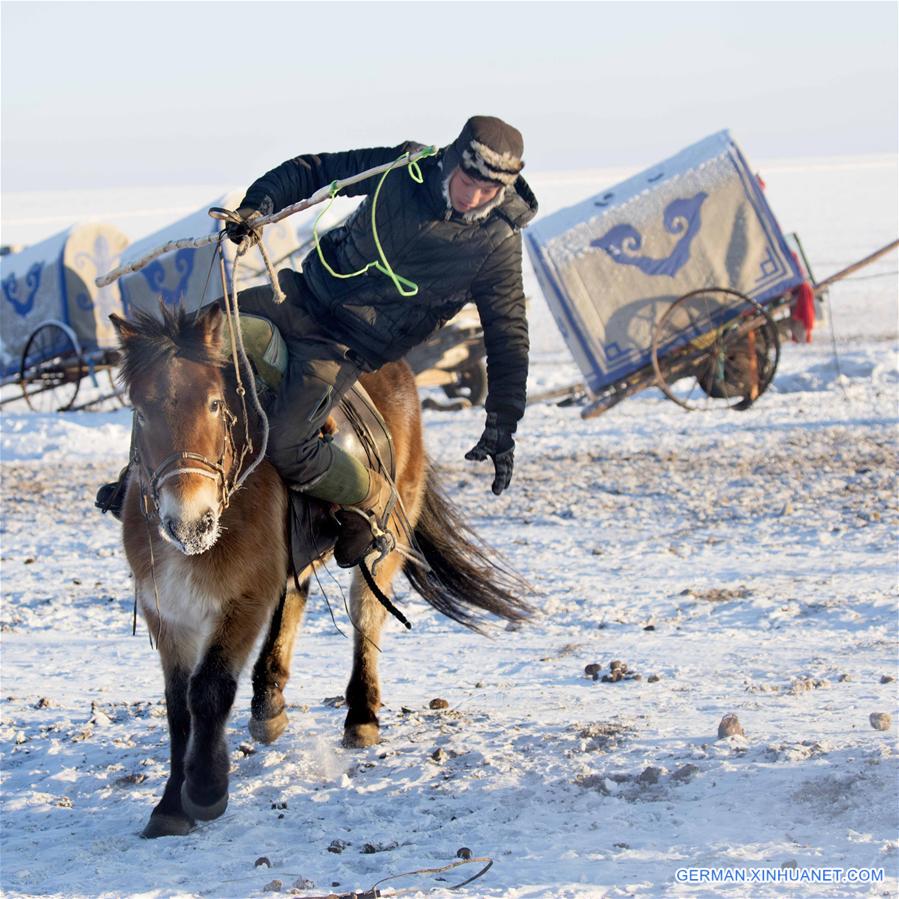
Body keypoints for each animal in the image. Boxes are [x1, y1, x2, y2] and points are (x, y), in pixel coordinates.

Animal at [112, 306, 536, 840]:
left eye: (214, 403)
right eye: (141, 412)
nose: (190, 521)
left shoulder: (242, 601)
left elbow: (208, 691)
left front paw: (206, 792)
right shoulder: (166, 611)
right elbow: (177, 707)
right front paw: (170, 805)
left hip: (383, 545)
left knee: (366, 617)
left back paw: (360, 715)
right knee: (295, 597)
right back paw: (268, 705)